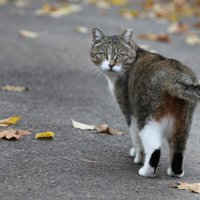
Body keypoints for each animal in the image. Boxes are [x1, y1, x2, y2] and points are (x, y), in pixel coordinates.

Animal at [90, 27, 200, 177]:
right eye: (103, 55)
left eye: (120, 55)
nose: (111, 65)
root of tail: (175, 76)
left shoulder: (129, 111)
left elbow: (136, 137)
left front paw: (138, 156)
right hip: (183, 122)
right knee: (178, 149)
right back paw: (175, 172)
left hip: (147, 117)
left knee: (155, 148)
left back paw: (146, 171)